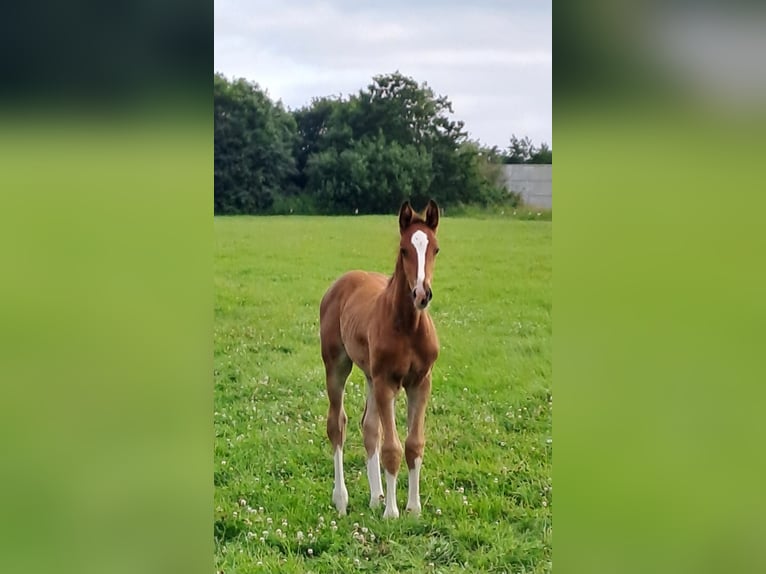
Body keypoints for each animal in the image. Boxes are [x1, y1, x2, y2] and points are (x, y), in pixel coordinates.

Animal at [319, 200, 441, 518]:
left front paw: (413, 508)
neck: (408, 326)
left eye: (435, 249)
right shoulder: (388, 381)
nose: (422, 294)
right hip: (337, 365)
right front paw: (392, 513)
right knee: (337, 423)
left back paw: (376, 496)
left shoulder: (420, 382)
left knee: (369, 426)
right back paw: (342, 500)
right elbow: (392, 448)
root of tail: (344, 279)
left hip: (370, 376)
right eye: (403, 249)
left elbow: (413, 444)